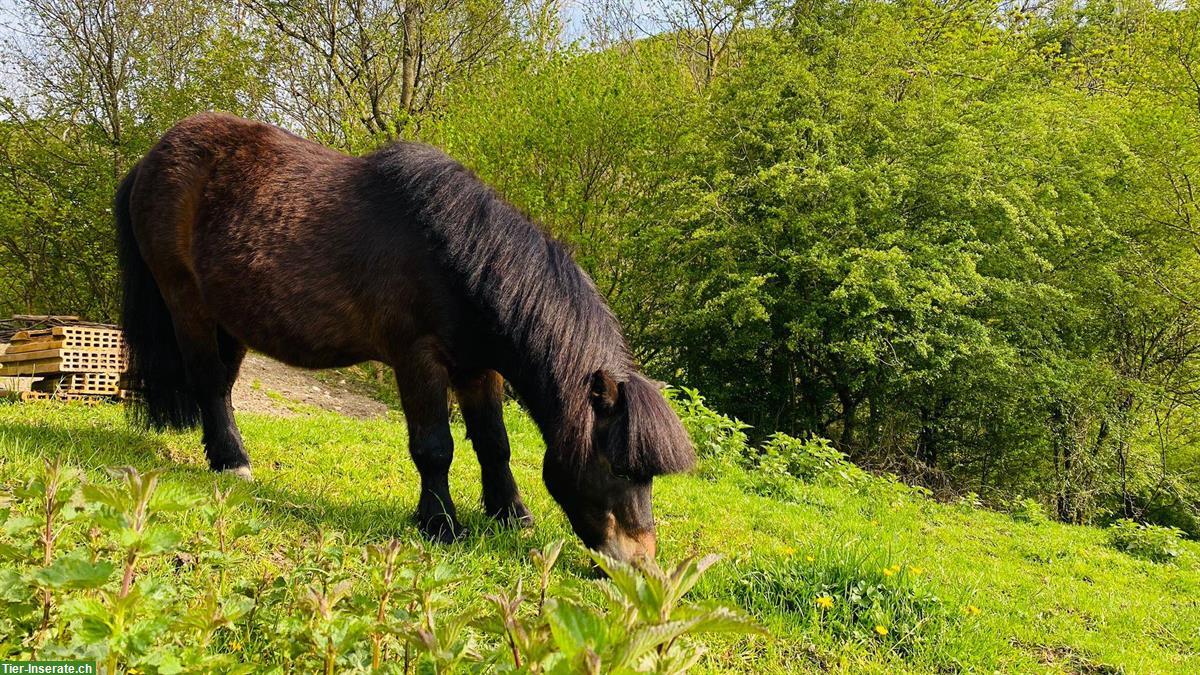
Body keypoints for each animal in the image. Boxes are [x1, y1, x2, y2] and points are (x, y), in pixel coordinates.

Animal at [114, 112, 696, 559]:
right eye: (618, 466)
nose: (641, 564)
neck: (458, 257)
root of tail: (150, 158)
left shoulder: (479, 366)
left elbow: (495, 443)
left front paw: (511, 514)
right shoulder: (419, 360)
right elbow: (435, 447)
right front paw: (441, 523)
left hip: (230, 318)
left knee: (224, 386)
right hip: (186, 303)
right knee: (209, 382)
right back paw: (231, 461)